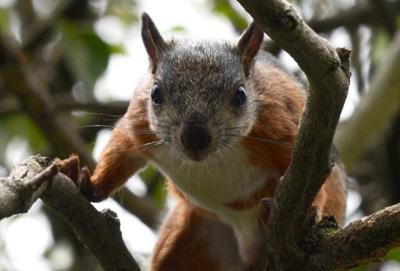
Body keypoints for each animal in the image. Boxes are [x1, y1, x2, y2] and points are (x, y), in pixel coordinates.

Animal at [76, 13, 346, 271]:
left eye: (241, 95)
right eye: (155, 93)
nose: (195, 138)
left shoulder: (282, 126)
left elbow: (313, 172)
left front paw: (310, 210)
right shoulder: (139, 123)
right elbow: (122, 148)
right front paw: (91, 183)